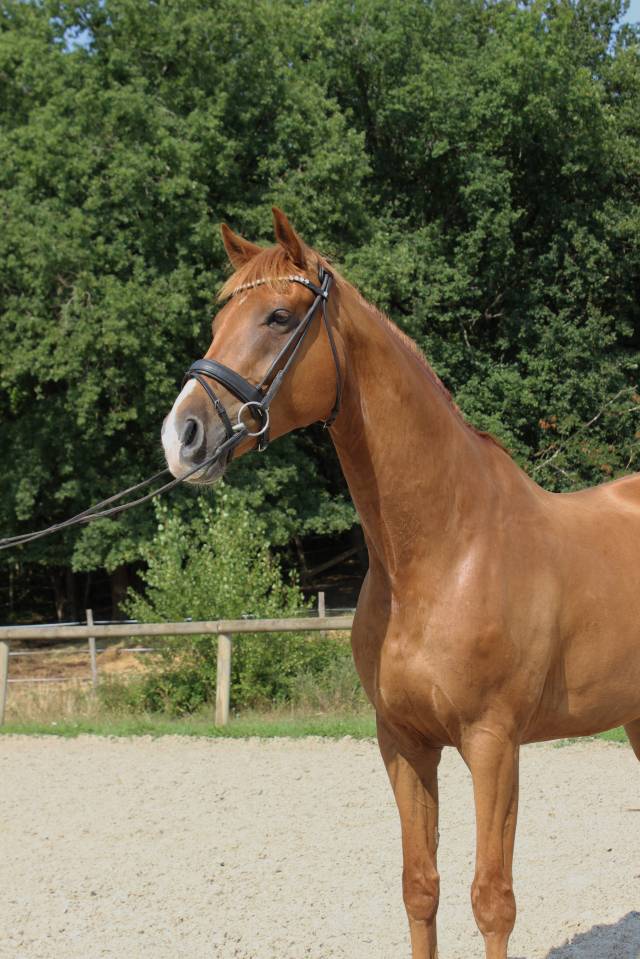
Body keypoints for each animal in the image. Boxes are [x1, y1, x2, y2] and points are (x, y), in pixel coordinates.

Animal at [161, 207, 640, 959]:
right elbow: (422, 887)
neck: (444, 550)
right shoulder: (403, 741)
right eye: (218, 320)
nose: (181, 436)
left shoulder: (493, 744)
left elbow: (492, 900)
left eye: (277, 315)